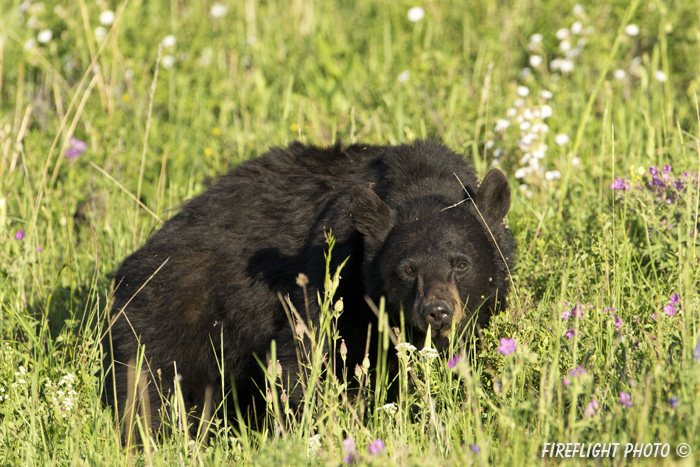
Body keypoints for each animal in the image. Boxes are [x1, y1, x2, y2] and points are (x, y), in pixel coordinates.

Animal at [106, 140, 516, 436]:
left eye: (461, 263)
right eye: (407, 269)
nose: (437, 311)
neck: (420, 182)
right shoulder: (332, 274)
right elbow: (304, 355)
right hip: (175, 309)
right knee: (153, 384)